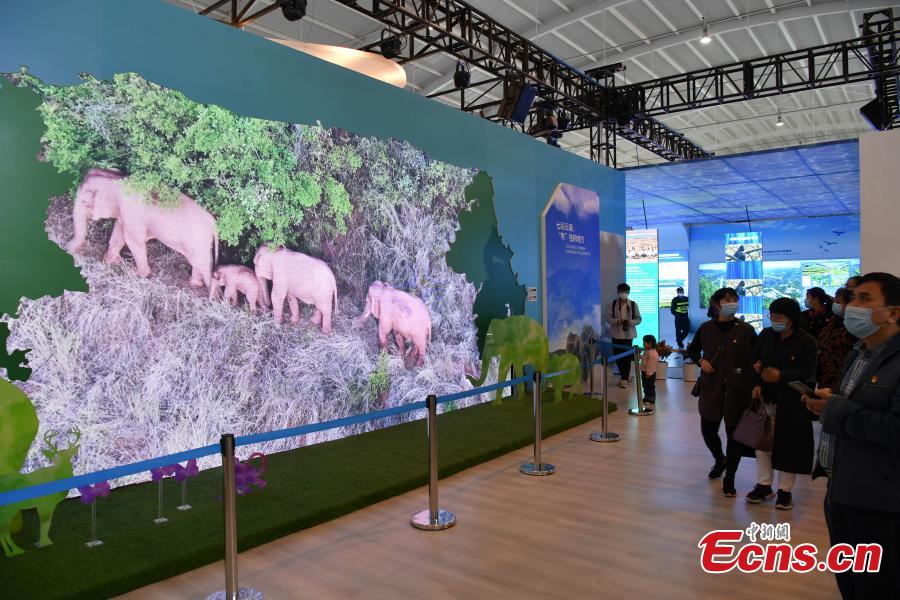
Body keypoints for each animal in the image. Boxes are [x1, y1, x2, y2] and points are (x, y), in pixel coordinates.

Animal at [67, 168, 219, 289]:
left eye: (84, 201)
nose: (67, 248)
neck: (116, 179)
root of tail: (214, 223)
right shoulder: (124, 213)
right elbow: (119, 231)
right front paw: (108, 261)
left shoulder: (131, 213)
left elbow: (133, 240)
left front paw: (137, 273)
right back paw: (194, 284)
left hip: (197, 241)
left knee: (203, 264)